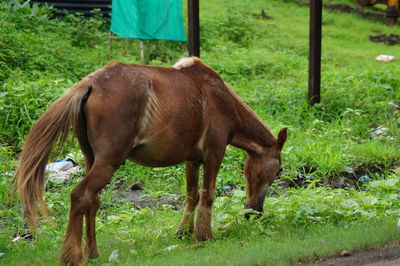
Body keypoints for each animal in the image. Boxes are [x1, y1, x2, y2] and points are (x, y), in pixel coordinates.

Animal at [14, 57, 286, 264]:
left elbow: (192, 195)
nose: (254, 212)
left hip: (93, 160)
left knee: (92, 201)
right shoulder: (214, 153)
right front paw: (204, 236)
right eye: (279, 171)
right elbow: (207, 195)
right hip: (108, 162)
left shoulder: (192, 160)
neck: (221, 99)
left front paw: (184, 232)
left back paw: (93, 252)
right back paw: (72, 256)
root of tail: (90, 83)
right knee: (80, 196)